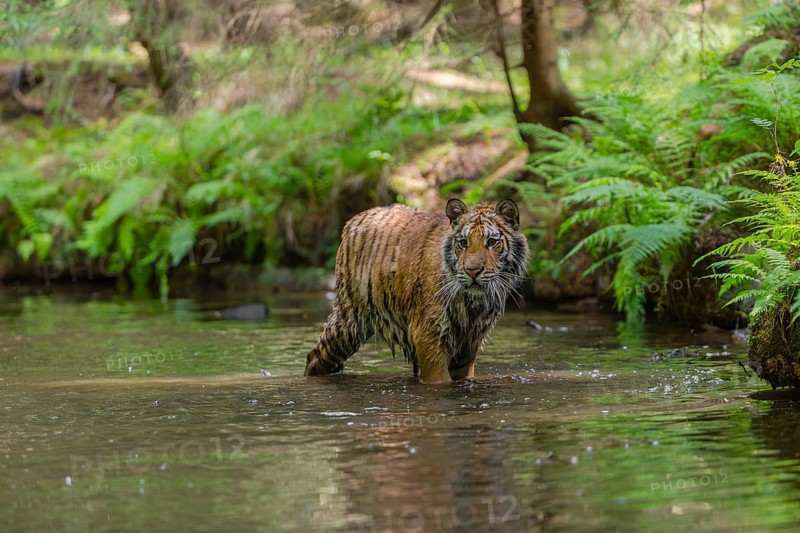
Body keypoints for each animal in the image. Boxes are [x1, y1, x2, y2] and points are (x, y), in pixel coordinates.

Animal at [304, 198, 530, 383]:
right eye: (463, 242)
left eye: (491, 242)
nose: (472, 271)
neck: (473, 303)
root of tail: (354, 219)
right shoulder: (428, 333)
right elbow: (439, 380)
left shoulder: (469, 343)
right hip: (348, 323)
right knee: (314, 357)